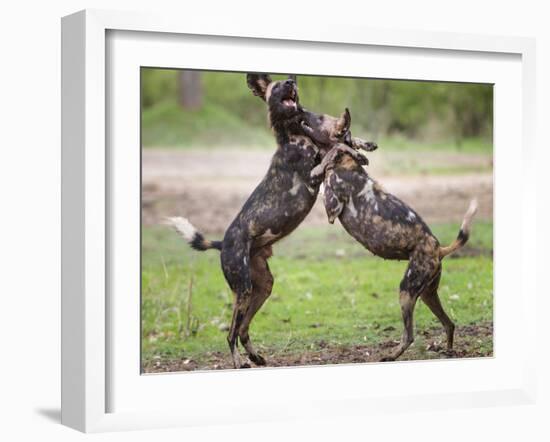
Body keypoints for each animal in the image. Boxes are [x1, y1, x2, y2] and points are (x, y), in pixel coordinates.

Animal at [168, 74, 376, 368]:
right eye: (277, 87)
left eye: (289, 83)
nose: (290, 80)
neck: (296, 135)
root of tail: (223, 243)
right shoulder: (314, 174)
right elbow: (335, 147)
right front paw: (355, 151)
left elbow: (340, 139)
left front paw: (363, 146)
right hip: (243, 290)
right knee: (231, 332)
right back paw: (239, 362)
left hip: (263, 286)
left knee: (243, 329)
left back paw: (256, 357)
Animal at [306, 109, 478, 360]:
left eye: (318, 118)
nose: (300, 111)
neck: (345, 165)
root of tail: (438, 247)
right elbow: (345, 148)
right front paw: (361, 149)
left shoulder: (331, 209)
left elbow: (334, 151)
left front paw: (337, 155)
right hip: (426, 294)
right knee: (449, 323)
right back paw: (448, 351)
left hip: (406, 291)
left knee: (409, 335)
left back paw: (391, 355)